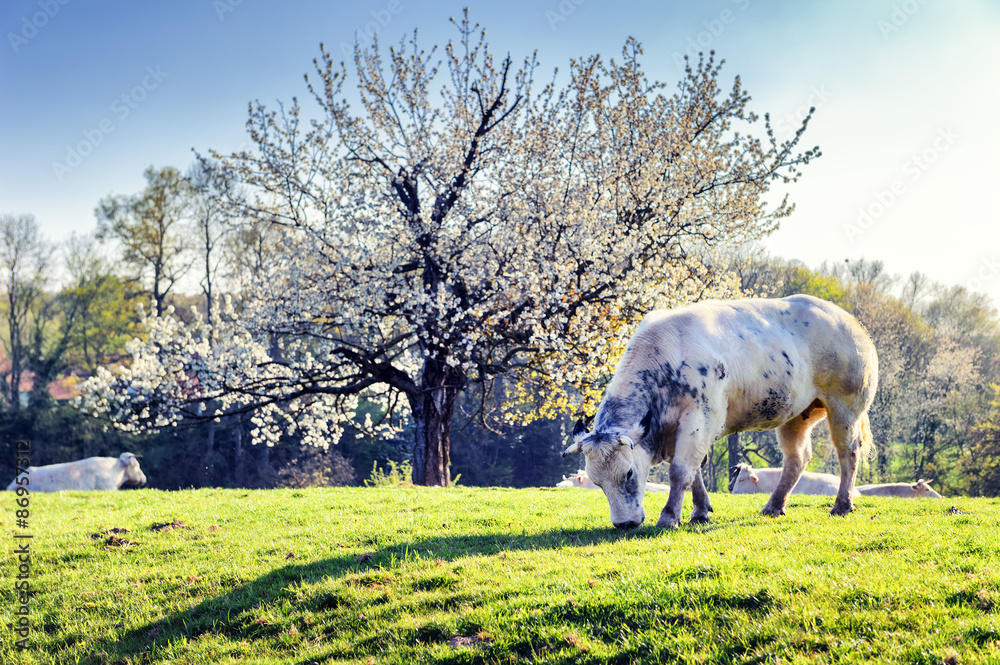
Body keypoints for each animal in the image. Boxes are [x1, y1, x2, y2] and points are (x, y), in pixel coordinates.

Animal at [564, 296, 876, 528]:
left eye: (629, 473)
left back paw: (842, 505)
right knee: (797, 458)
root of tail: (851, 321)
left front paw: (669, 517)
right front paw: (700, 512)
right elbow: (695, 472)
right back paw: (774, 506)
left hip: (845, 408)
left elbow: (681, 471)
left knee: (848, 453)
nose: (624, 524)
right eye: (596, 481)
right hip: (797, 415)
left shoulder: (700, 419)